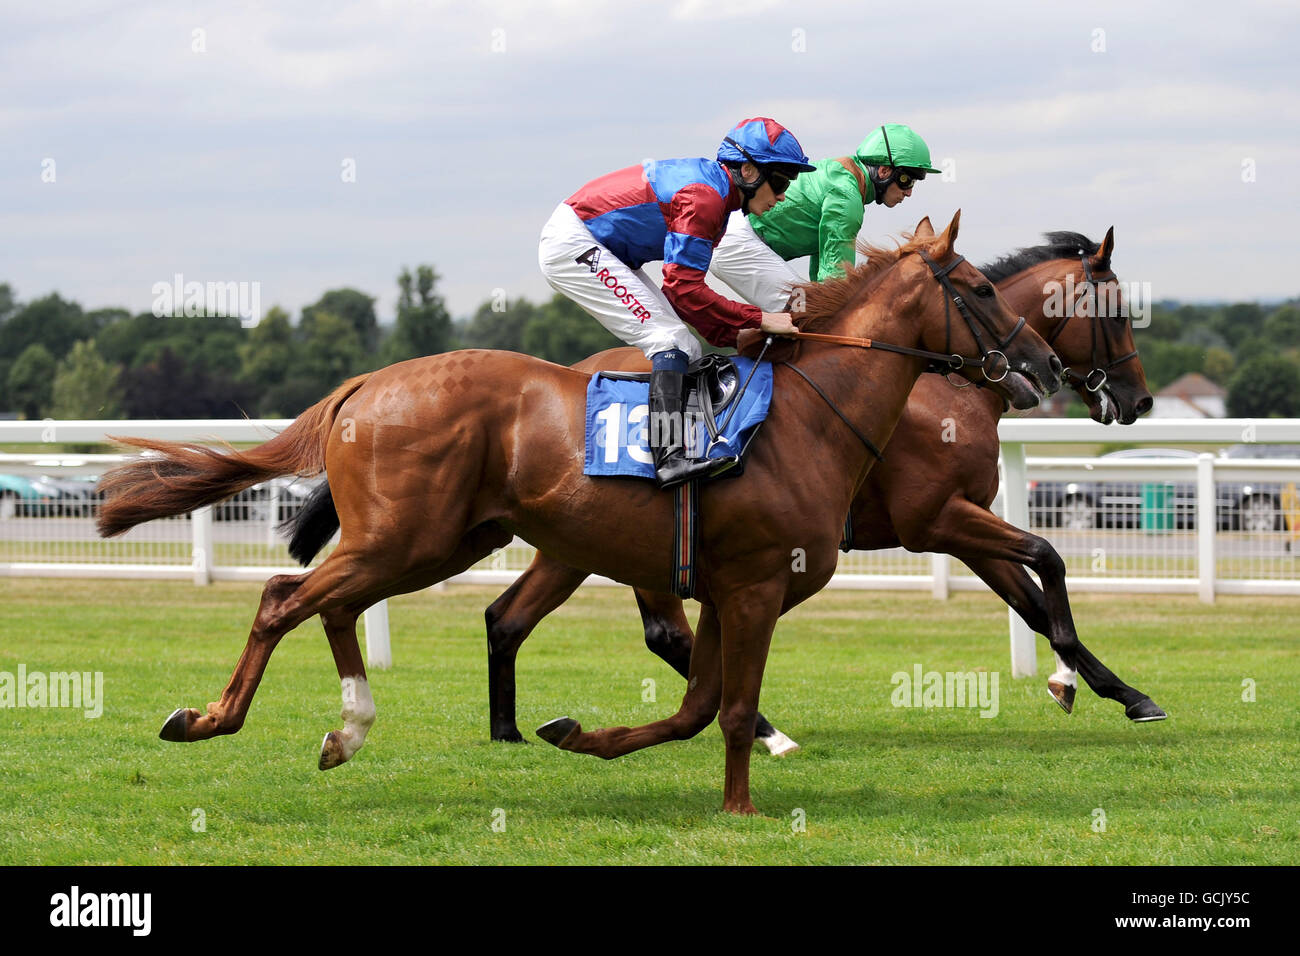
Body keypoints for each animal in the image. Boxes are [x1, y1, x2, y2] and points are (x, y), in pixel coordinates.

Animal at [96, 210, 1060, 816]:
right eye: (978, 288)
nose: (1046, 367)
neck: (809, 416)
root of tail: (367, 382)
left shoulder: (729, 590)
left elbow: (696, 708)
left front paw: (576, 735)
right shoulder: (755, 587)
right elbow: (730, 710)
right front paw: (742, 809)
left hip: (438, 542)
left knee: (332, 604)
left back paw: (349, 731)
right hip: (408, 536)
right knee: (281, 597)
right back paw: (211, 719)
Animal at [478, 222, 1170, 749]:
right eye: (1117, 313)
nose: (1139, 398)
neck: (943, 386)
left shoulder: (962, 524)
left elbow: (1030, 601)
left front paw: (1116, 690)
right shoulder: (938, 520)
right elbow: (1046, 561)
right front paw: (1090, 685)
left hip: (578, 541)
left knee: (507, 618)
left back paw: (508, 731)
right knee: (660, 633)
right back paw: (762, 729)